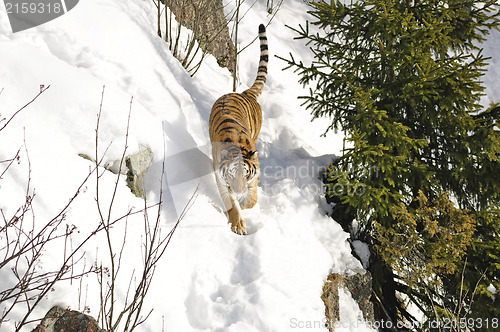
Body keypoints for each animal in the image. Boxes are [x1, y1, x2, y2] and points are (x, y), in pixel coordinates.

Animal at [209, 23, 268, 235]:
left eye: (246, 174)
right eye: (232, 174)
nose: (239, 190)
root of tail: (244, 93)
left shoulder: (255, 172)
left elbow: (252, 199)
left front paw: (245, 203)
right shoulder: (221, 179)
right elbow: (231, 204)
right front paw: (238, 225)